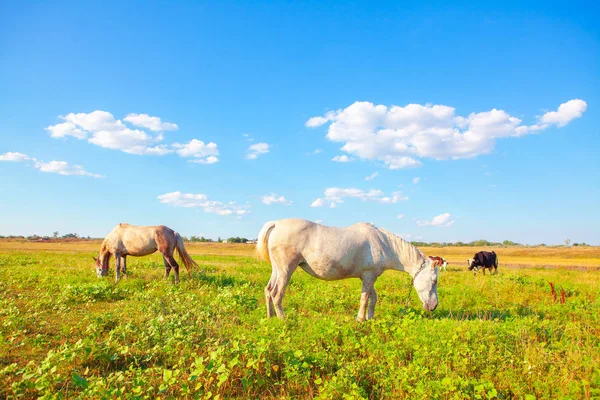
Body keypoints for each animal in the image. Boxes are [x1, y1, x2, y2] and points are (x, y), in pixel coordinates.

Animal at [255, 217, 438, 320]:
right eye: (434, 280)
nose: (434, 306)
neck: (383, 243)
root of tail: (276, 224)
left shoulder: (368, 277)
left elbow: (373, 298)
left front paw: (370, 318)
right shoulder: (369, 276)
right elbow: (365, 299)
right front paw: (360, 319)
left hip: (277, 269)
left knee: (268, 291)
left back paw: (270, 317)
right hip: (286, 270)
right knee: (277, 294)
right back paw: (282, 319)